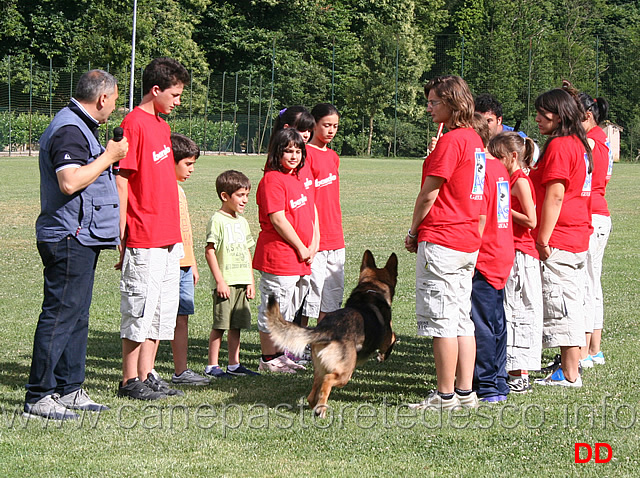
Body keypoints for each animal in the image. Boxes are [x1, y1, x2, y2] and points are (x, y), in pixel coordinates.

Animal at [264, 248, 396, 416]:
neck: (371, 289)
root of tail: (326, 329)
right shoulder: (387, 337)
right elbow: (393, 338)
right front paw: (382, 356)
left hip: (319, 368)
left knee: (313, 392)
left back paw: (316, 407)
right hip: (345, 373)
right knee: (327, 381)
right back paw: (322, 409)